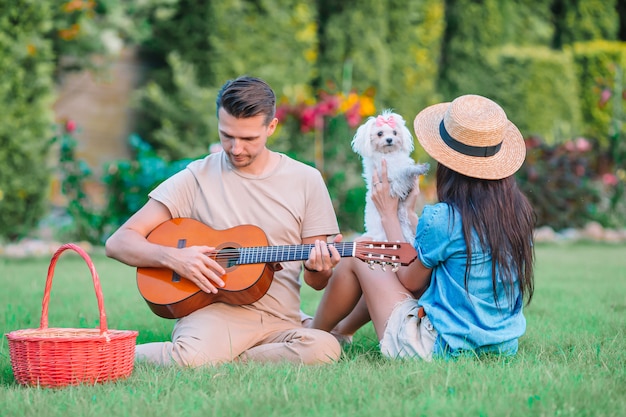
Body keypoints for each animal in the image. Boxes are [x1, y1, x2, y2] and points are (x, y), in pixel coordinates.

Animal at [348, 109, 426, 242]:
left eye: (395, 132)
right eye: (380, 133)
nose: (389, 139)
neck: (389, 154)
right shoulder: (391, 178)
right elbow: (404, 174)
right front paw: (417, 169)